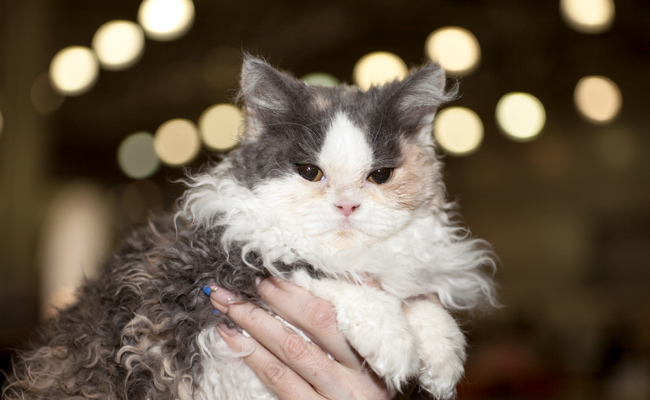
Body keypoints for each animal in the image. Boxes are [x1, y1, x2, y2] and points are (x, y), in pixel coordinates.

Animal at [1, 56, 496, 400]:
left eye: (380, 176)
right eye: (310, 172)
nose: (347, 205)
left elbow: (420, 298)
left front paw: (442, 359)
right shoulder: (207, 270)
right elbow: (313, 268)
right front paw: (393, 342)